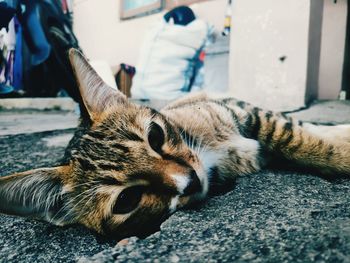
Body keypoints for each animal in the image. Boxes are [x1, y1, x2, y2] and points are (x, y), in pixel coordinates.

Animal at [0, 48, 350, 240]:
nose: (191, 181)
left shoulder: (243, 112)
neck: (210, 154)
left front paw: (338, 145)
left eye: (155, 136)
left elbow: (298, 138)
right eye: (127, 200)